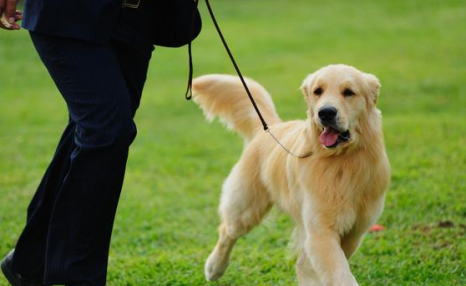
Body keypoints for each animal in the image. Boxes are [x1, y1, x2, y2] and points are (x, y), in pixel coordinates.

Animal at [191, 65, 392, 286]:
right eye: (318, 91)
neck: (342, 161)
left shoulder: (354, 231)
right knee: (227, 232)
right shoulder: (321, 231)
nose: (325, 112)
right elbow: (339, 274)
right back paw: (214, 267)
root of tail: (270, 128)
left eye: (348, 92)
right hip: (246, 207)